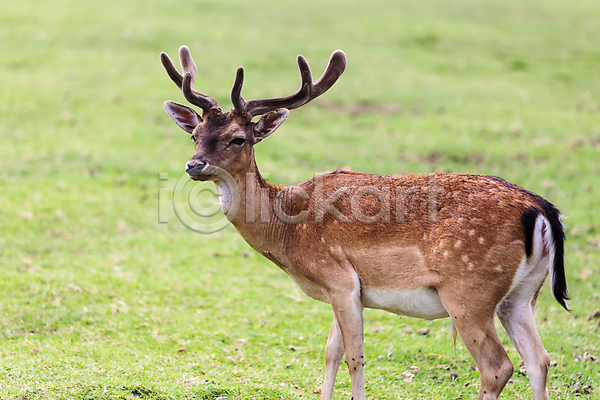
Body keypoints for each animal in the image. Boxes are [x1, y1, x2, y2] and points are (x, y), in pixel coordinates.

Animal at [159, 45, 568, 400]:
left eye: (238, 138)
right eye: (195, 135)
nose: (194, 165)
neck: (288, 230)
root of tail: (542, 210)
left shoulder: (338, 276)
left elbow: (354, 357)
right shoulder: (346, 290)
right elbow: (330, 352)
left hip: (469, 290)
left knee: (497, 367)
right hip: (521, 295)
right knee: (539, 360)